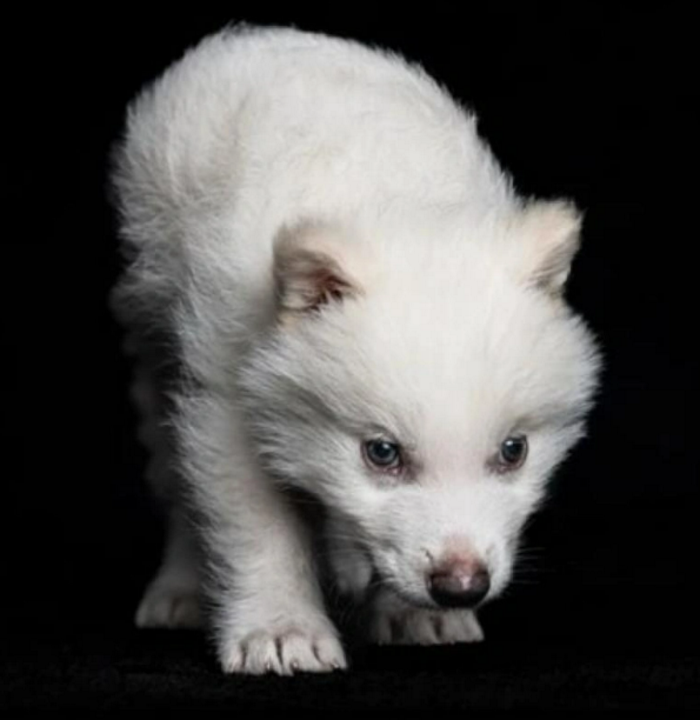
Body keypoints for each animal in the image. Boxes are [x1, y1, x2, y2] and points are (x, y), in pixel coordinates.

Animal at [111, 24, 601, 674]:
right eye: (382, 453)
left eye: (514, 451)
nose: (461, 585)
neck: (388, 200)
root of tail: (269, 34)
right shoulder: (225, 392)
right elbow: (257, 522)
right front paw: (280, 629)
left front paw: (414, 614)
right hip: (153, 328)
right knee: (172, 469)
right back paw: (181, 588)